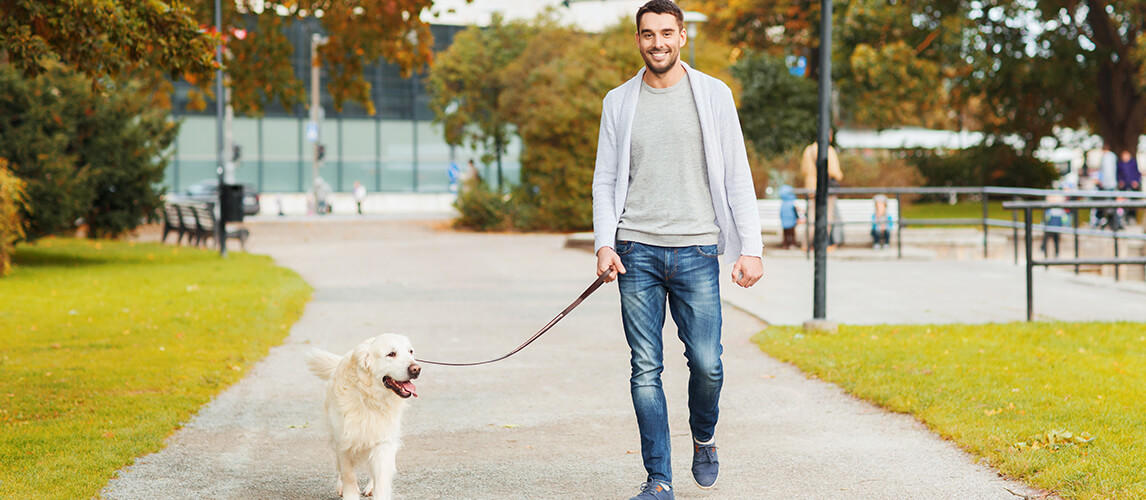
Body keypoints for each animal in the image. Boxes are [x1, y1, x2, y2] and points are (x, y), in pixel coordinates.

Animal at [309, 334, 421, 500]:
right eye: (391, 354)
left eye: (410, 351)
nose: (416, 369)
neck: (370, 397)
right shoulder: (343, 440)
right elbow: (348, 476)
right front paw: (349, 493)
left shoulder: (383, 442)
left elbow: (382, 479)